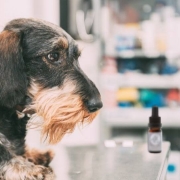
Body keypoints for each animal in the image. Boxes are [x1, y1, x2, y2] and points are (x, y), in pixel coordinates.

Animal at [0, 18, 102, 180]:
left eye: (77, 57)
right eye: (53, 56)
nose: (97, 104)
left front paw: (33, 153)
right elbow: (3, 152)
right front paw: (29, 169)